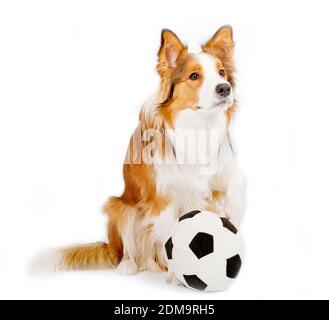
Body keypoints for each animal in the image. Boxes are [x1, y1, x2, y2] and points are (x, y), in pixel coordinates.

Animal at [42, 25, 245, 284]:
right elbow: (170, 235)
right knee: (131, 250)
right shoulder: (165, 198)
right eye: (194, 76)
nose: (224, 88)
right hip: (121, 208)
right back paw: (130, 266)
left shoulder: (214, 188)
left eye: (221, 73)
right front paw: (177, 276)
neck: (197, 126)